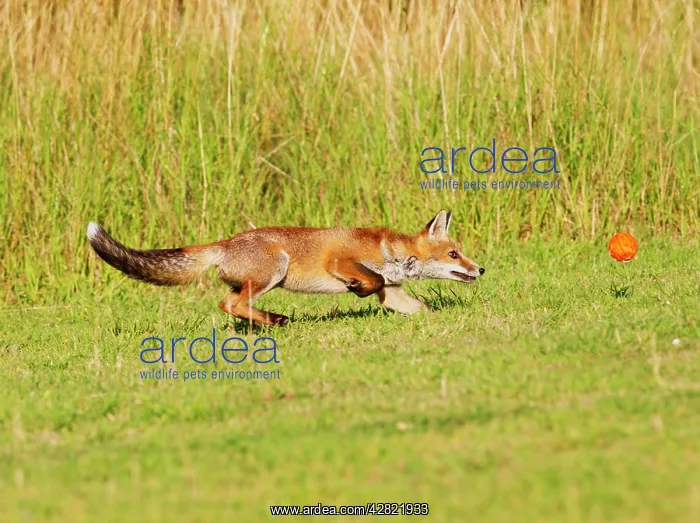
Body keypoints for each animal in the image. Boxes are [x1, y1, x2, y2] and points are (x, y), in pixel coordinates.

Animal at [86, 210, 484, 326]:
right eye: (454, 254)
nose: (480, 271)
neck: (391, 252)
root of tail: (225, 242)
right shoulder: (341, 260)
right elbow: (368, 280)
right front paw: (356, 289)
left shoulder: (393, 293)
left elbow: (420, 308)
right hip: (274, 271)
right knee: (232, 304)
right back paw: (276, 321)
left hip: (254, 281)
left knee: (229, 303)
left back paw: (269, 321)